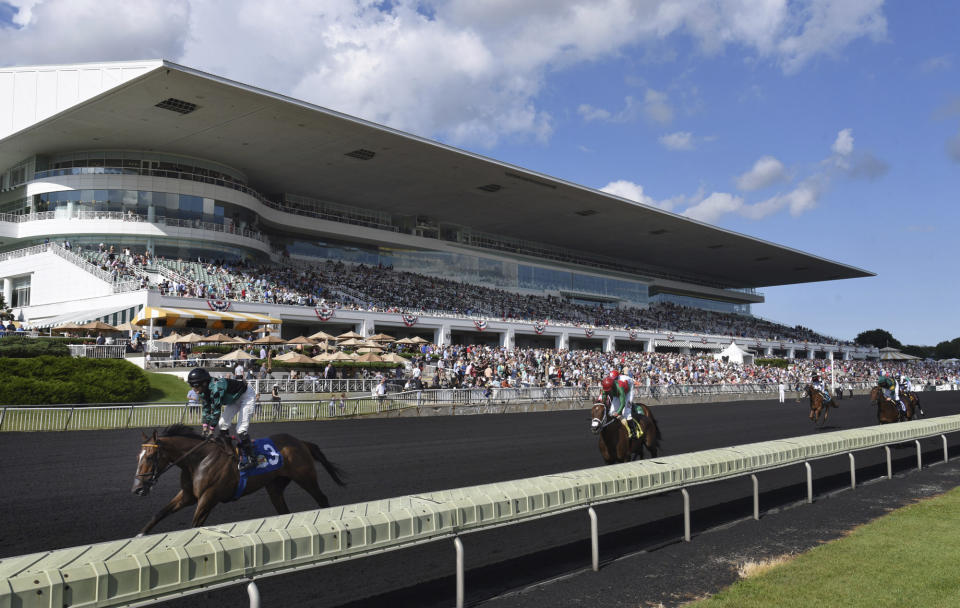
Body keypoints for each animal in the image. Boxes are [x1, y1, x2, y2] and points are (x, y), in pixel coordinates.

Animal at [132, 426, 344, 536]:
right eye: (137, 456)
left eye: (150, 457)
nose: (137, 489)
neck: (199, 460)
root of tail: (301, 442)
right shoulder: (187, 495)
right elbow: (159, 514)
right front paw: (140, 535)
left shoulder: (208, 498)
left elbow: (195, 525)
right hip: (275, 486)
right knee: (283, 510)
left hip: (305, 477)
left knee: (322, 499)